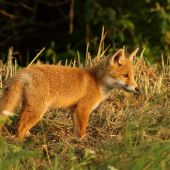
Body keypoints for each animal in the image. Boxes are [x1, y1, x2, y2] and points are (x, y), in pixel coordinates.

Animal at [0, 47, 139, 139]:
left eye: (132, 75)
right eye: (125, 75)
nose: (138, 89)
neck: (96, 81)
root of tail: (23, 71)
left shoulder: (74, 109)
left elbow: (76, 128)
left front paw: (75, 142)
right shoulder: (84, 108)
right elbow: (82, 130)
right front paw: (83, 144)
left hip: (28, 106)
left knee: (18, 123)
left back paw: (27, 136)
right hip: (38, 110)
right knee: (21, 126)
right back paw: (21, 143)